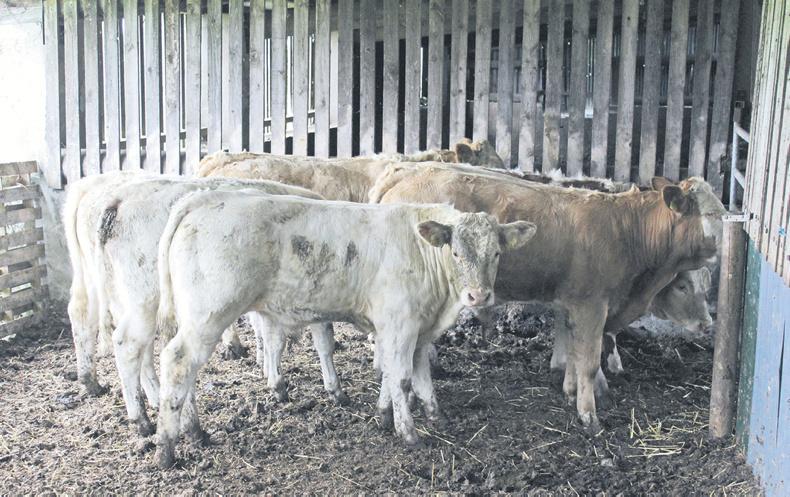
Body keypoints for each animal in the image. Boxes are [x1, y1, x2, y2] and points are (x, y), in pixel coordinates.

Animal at [64, 172, 343, 436]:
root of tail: (116, 200)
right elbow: (323, 340)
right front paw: (332, 388)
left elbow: (271, 336)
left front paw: (272, 376)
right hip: (144, 299)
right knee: (130, 345)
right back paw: (144, 418)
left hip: (104, 285)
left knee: (86, 315)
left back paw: (102, 385)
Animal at [153, 190, 536, 467]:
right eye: (455, 252)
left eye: (496, 252)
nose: (479, 295)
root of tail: (202, 199)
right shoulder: (399, 324)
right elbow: (401, 377)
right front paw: (409, 433)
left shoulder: (415, 329)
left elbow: (415, 373)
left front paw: (421, 415)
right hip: (208, 315)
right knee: (177, 363)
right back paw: (167, 450)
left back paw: (195, 432)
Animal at [370, 166, 724, 432]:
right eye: (713, 214)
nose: (707, 324)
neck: (625, 232)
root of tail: (404, 174)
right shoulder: (591, 305)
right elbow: (588, 361)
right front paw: (589, 415)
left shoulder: (572, 304)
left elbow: (573, 352)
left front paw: (569, 390)